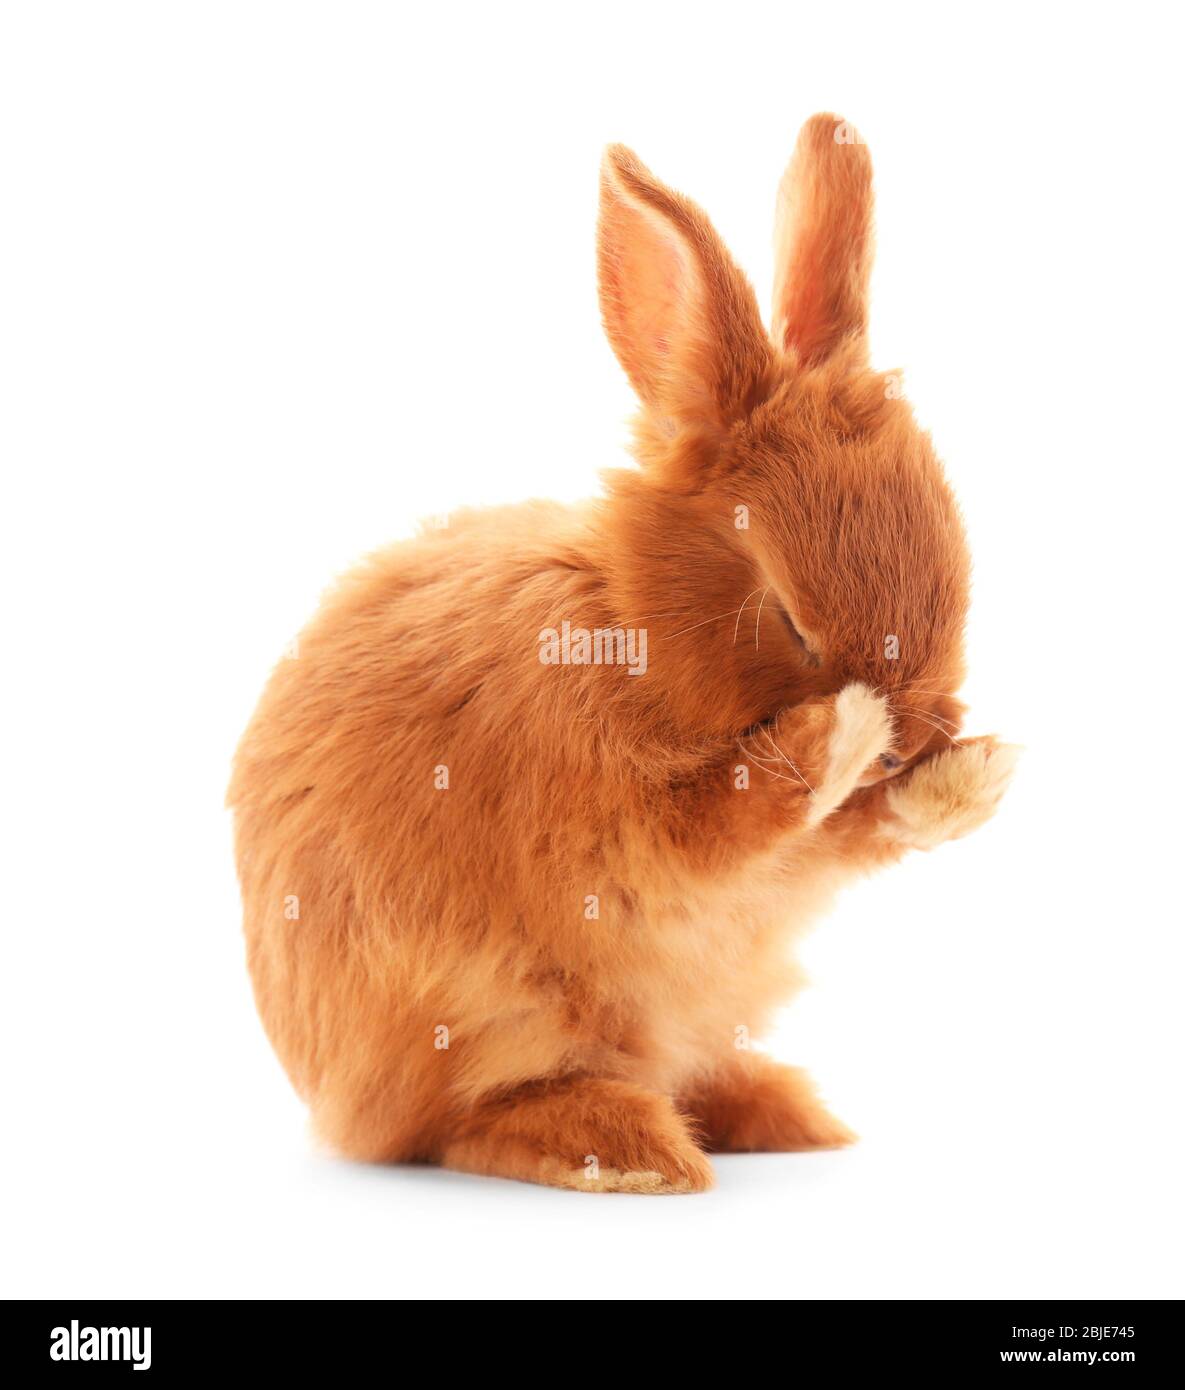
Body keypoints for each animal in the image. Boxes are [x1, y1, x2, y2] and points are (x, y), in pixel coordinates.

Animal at [228, 113, 1018, 1194]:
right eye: (789, 617)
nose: (921, 730)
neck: (635, 632)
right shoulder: (617, 808)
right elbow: (735, 815)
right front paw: (847, 728)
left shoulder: (796, 860)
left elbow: (852, 832)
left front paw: (972, 778)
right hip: (474, 1019)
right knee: (457, 1124)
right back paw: (627, 1147)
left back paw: (777, 1112)